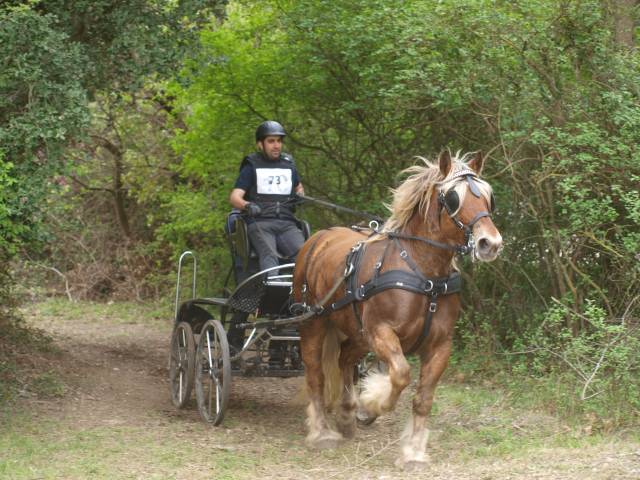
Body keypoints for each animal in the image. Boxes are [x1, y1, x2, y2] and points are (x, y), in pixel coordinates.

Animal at [292, 150, 503, 469]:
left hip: (357, 332)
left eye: (488, 197)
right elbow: (401, 375)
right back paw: (322, 433)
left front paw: (413, 451)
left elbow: (423, 399)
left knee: (343, 360)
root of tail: (317, 239)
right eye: (453, 198)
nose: (490, 243)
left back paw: (347, 414)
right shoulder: (382, 332)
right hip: (314, 322)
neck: (425, 273)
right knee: (315, 373)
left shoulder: (441, 345)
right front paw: (373, 403)